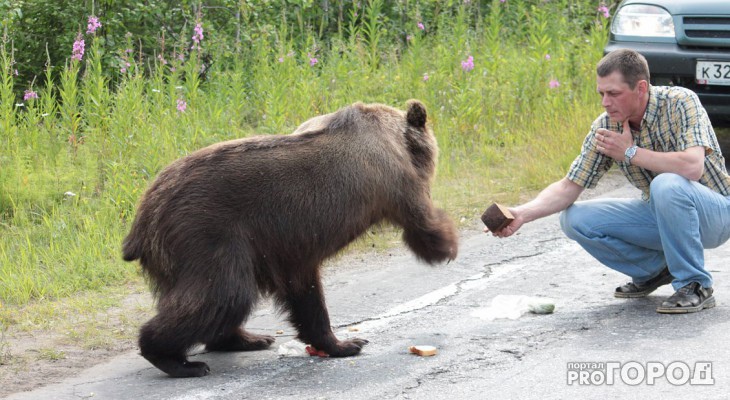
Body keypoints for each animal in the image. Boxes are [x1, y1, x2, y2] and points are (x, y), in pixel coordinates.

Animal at [122, 98, 458, 376]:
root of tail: (143, 216)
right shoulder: (394, 179)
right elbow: (421, 221)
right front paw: (447, 245)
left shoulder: (289, 250)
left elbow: (305, 295)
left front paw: (341, 343)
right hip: (207, 233)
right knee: (224, 293)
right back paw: (178, 360)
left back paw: (250, 338)